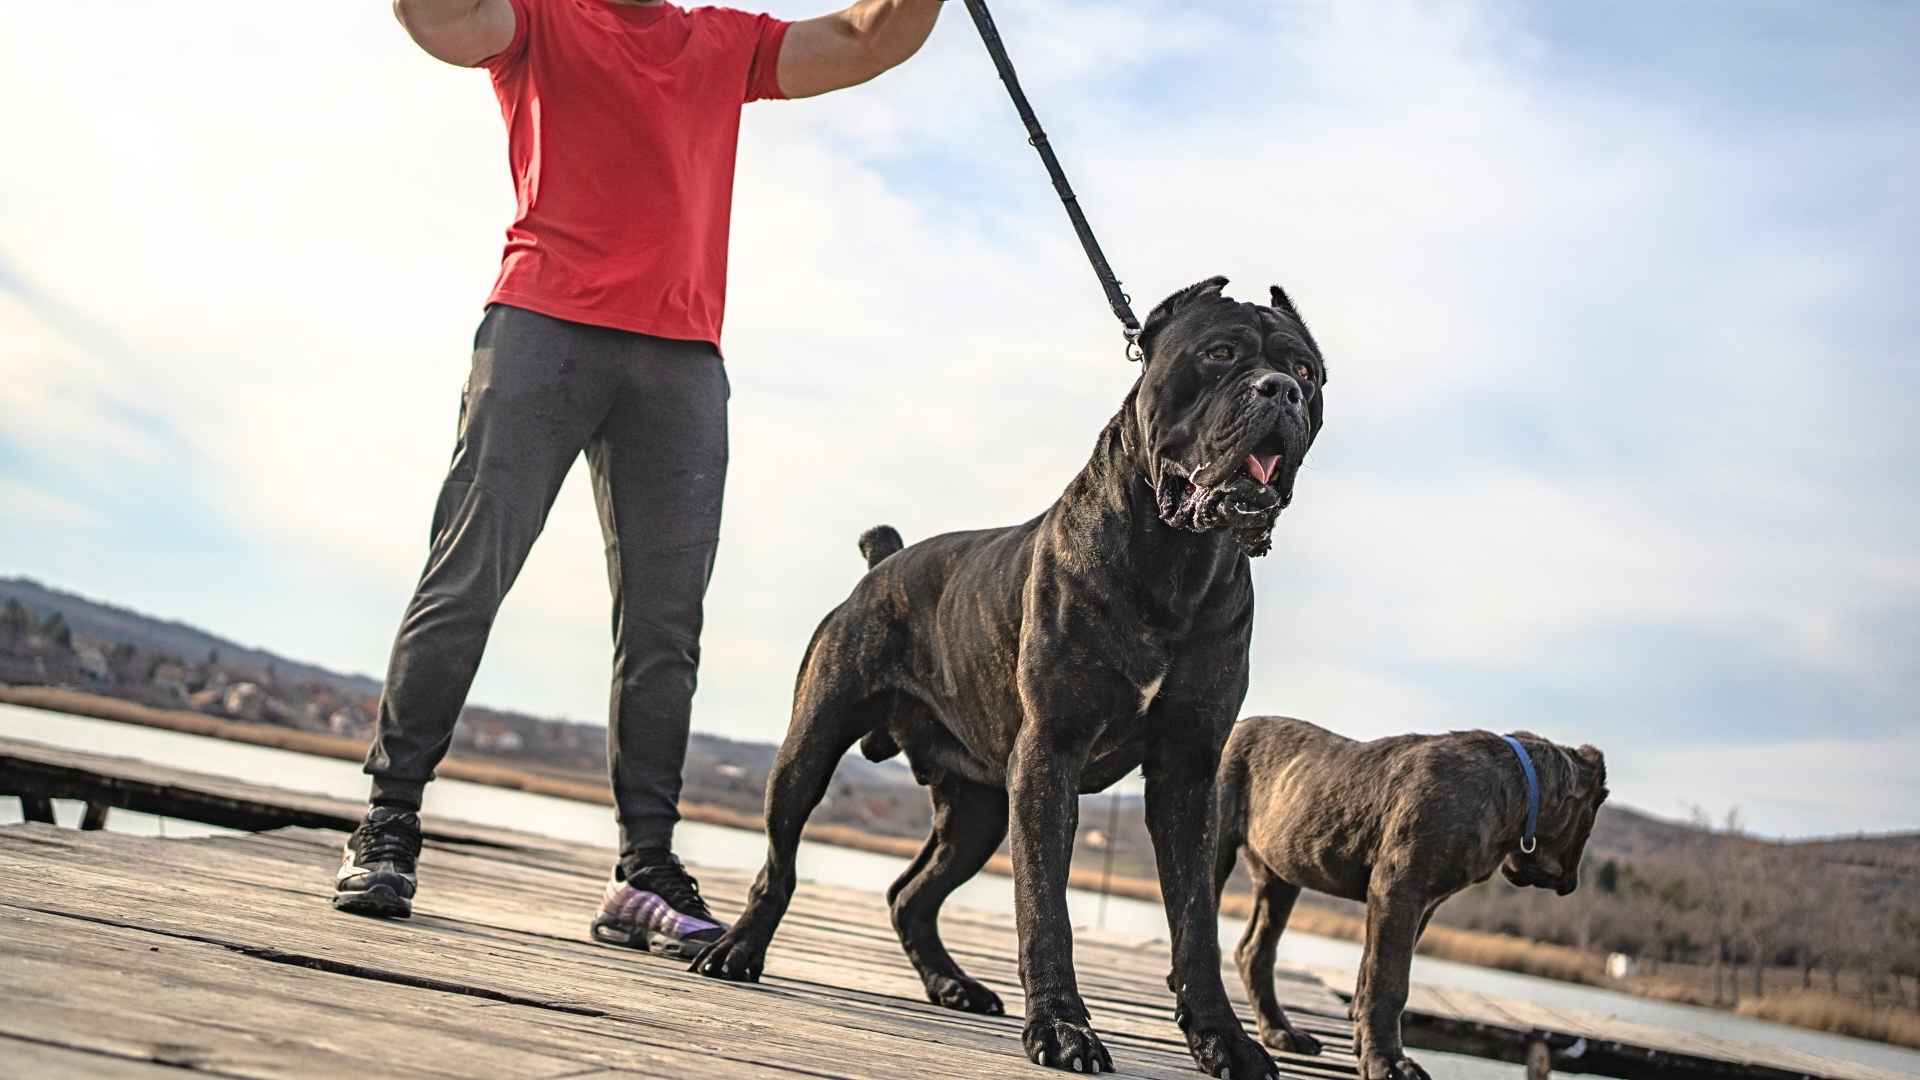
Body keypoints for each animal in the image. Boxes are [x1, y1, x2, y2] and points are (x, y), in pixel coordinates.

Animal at [1213, 714, 1605, 1076]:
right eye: (1589, 817)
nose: (1571, 883)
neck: (1520, 788)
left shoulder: (1419, 905)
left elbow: (1368, 978)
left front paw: (1367, 1049)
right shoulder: (1399, 891)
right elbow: (1389, 983)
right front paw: (1387, 1062)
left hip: (1280, 877)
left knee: (1254, 951)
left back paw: (1281, 1032)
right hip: (1217, 851)